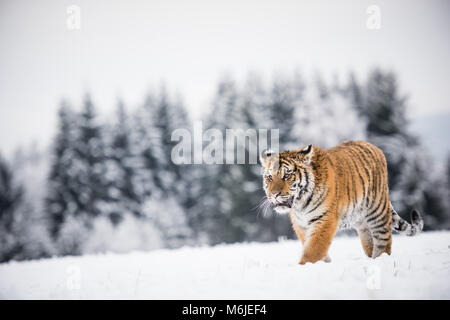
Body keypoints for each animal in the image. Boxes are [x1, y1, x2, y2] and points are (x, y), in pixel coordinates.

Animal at [258, 141, 424, 264]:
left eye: (287, 176)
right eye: (270, 177)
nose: (274, 195)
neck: (300, 205)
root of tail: (373, 146)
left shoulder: (324, 220)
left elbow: (313, 249)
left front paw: (304, 267)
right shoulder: (301, 225)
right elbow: (310, 245)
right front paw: (324, 262)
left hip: (377, 212)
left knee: (384, 242)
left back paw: (380, 261)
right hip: (362, 223)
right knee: (371, 243)